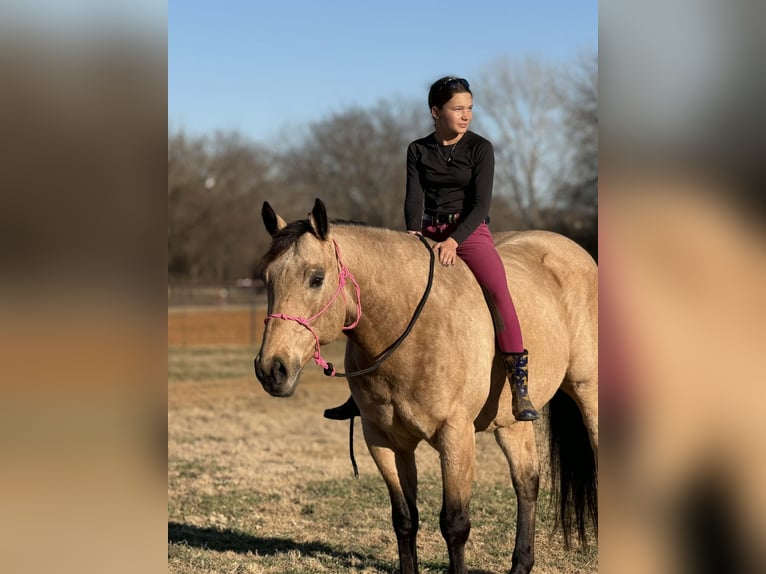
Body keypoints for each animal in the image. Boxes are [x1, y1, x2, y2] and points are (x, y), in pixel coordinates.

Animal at [254, 198, 598, 574]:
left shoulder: (456, 435)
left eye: (316, 278)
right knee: (527, 482)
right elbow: (405, 519)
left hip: (588, 391)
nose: (272, 369)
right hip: (511, 419)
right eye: (267, 278)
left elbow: (455, 523)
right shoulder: (384, 440)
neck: (407, 328)